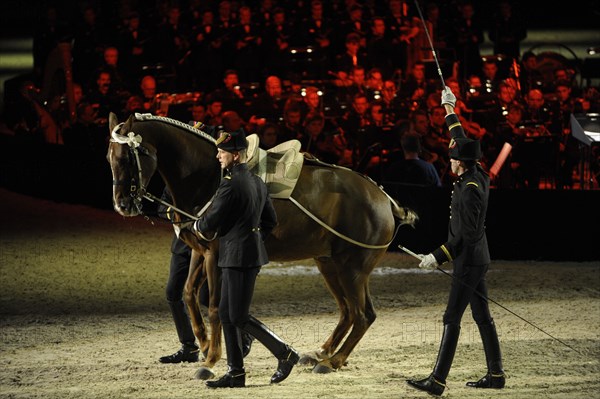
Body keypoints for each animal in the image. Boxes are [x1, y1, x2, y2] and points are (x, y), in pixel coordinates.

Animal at [106, 111, 418, 378]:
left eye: (129, 156)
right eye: (109, 157)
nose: (122, 205)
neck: (210, 175)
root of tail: (383, 197)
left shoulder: (216, 255)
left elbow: (216, 307)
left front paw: (211, 360)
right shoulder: (200, 251)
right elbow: (188, 295)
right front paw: (205, 346)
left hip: (352, 269)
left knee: (362, 315)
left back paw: (333, 361)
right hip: (330, 264)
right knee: (348, 311)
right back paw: (322, 353)